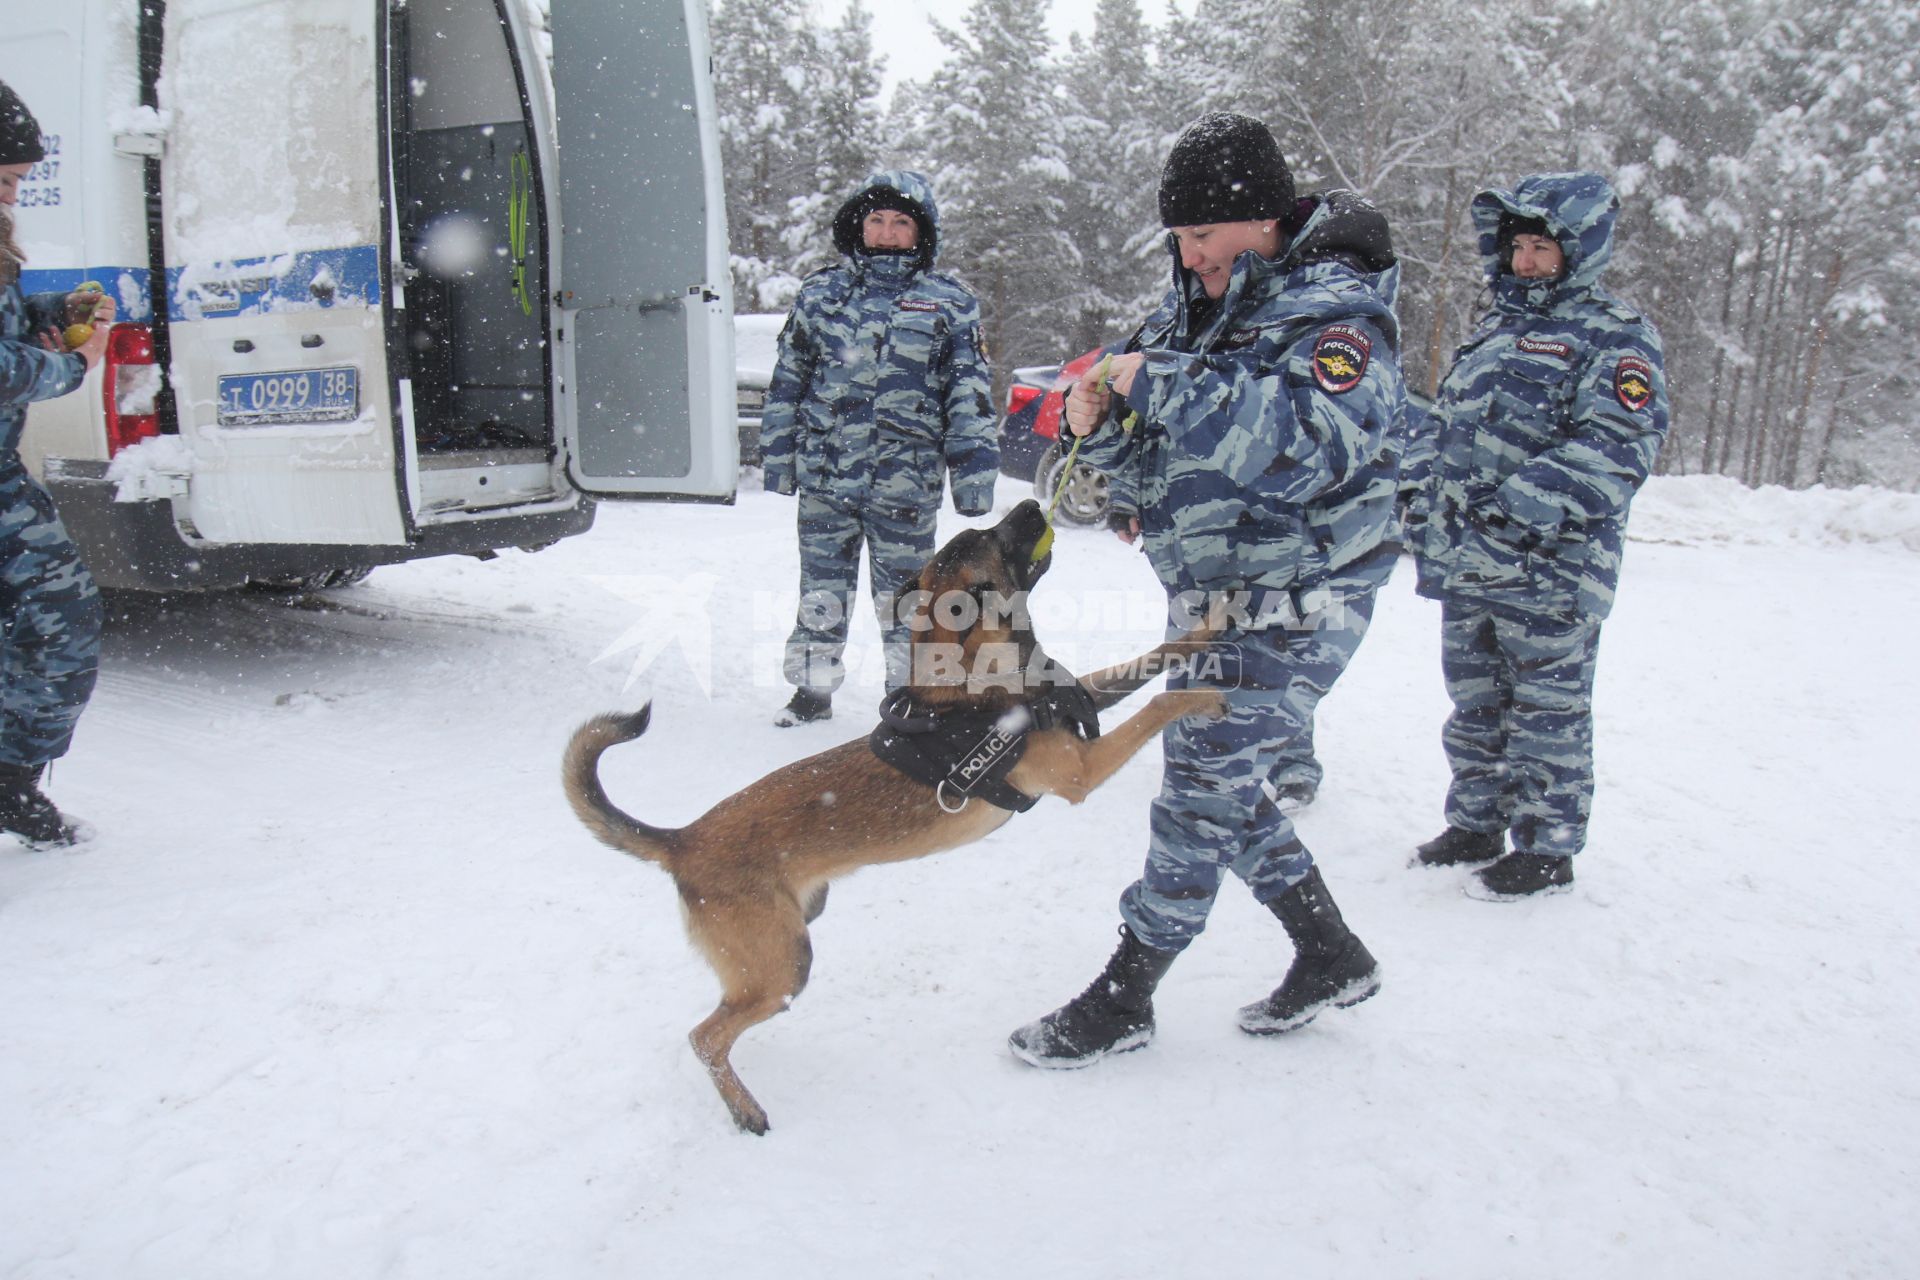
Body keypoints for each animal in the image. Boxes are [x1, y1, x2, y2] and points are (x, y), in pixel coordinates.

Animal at [560, 498, 1221, 1128]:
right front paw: (1207, 696)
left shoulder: (1083, 695)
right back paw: (745, 1110)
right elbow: (1158, 706)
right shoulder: (1082, 770)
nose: (1033, 504)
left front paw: (1211, 628)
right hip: (784, 968)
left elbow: (1147, 659)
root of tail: (683, 840)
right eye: (996, 545)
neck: (983, 685)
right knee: (704, 1037)